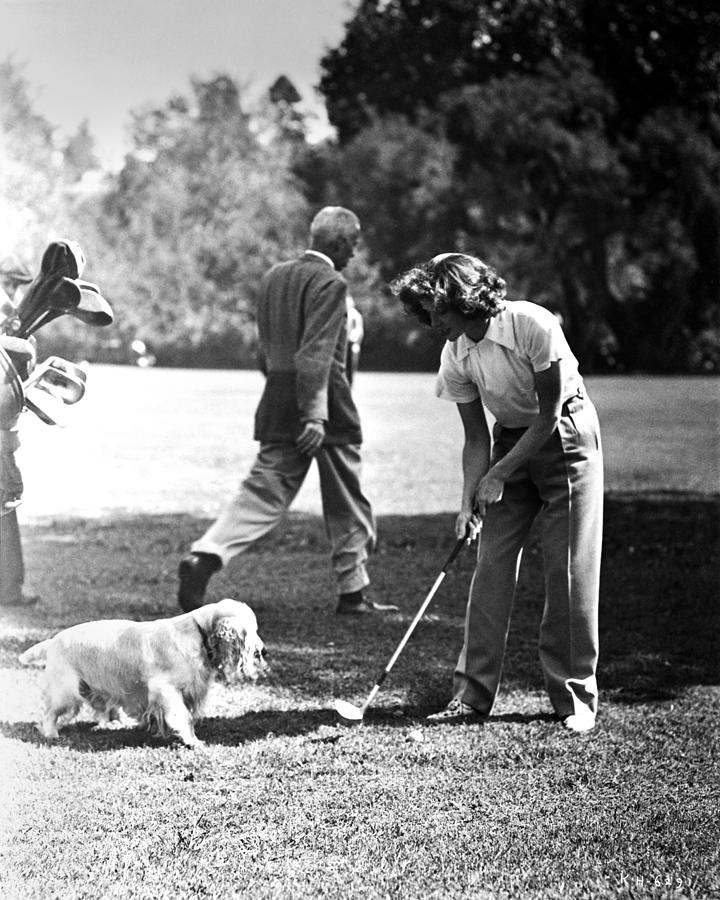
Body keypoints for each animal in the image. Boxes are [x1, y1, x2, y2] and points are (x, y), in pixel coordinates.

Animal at [19, 596, 268, 744]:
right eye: (248, 631)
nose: (264, 651)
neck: (197, 631)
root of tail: (52, 640)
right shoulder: (165, 689)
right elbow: (184, 716)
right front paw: (193, 742)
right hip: (65, 691)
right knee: (49, 714)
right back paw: (52, 734)